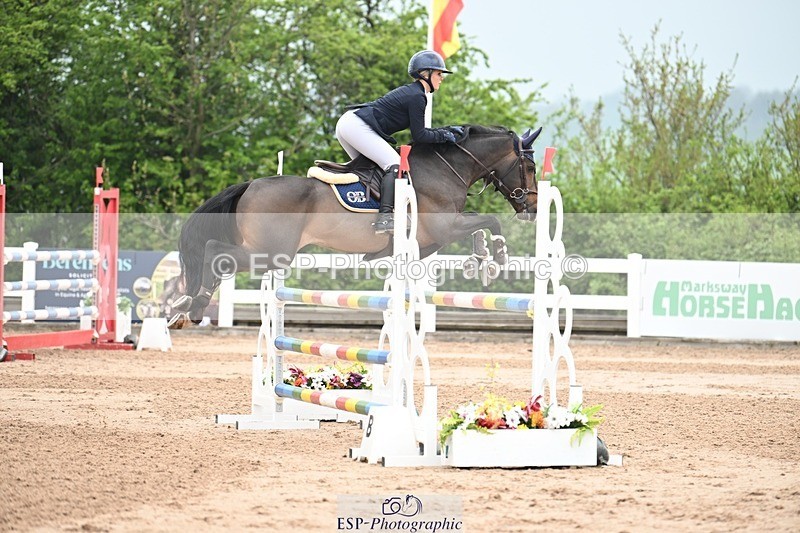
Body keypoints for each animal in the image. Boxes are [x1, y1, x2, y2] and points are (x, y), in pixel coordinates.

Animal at [169, 124, 541, 326]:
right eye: (530, 167)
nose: (534, 208)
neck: (445, 168)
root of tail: (249, 185)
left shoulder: (431, 240)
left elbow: (479, 226)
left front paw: (480, 257)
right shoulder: (444, 228)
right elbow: (491, 220)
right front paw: (498, 256)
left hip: (269, 253)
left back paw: (186, 306)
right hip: (272, 253)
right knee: (215, 251)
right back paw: (192, 303)